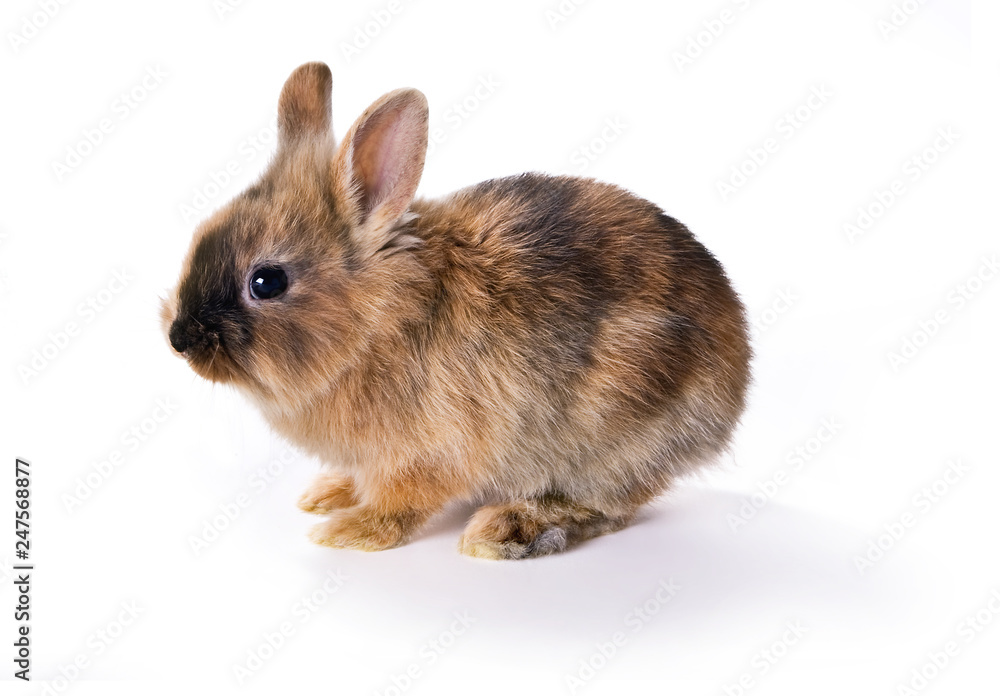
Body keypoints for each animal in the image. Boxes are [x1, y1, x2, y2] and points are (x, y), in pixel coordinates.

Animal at [162, 62, 752, 560]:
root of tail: (735, 374)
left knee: (609, 504)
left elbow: (400, 504)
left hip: (615, 427)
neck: (375, 326)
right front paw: (326, 495)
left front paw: (348, 532)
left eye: (266, 282)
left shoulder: (429, 456)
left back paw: (507, 529)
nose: (178, 338)